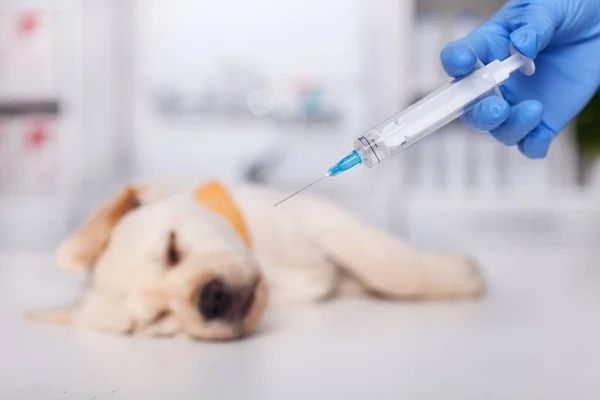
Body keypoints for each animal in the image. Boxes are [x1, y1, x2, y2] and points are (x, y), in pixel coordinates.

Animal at [30, 181, 486, 340]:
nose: (209, 299)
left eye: (173, 248)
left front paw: (458, 277)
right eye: (157, 319)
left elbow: (388, 263)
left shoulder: (319, 217)